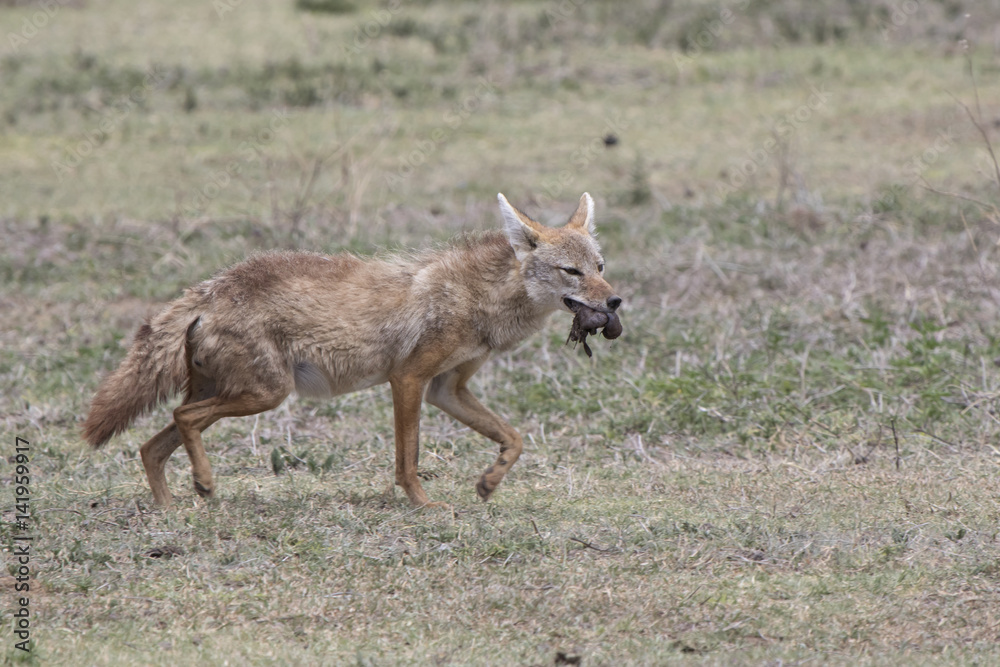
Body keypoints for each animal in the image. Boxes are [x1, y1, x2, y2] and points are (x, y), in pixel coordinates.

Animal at [83, 193, 623, 507]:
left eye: (599, 266)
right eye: (572, 272)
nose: (615, 301)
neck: (480, 296)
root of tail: (212, 288)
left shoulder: (445, 389)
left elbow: (514, 438)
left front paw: (488, 484)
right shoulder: (408, 380)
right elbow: (408, 459)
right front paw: (423, 506)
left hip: (236, 394)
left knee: (153, 444)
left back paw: (171, 511)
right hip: (265, 395)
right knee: (183, 419)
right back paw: (204, 485)